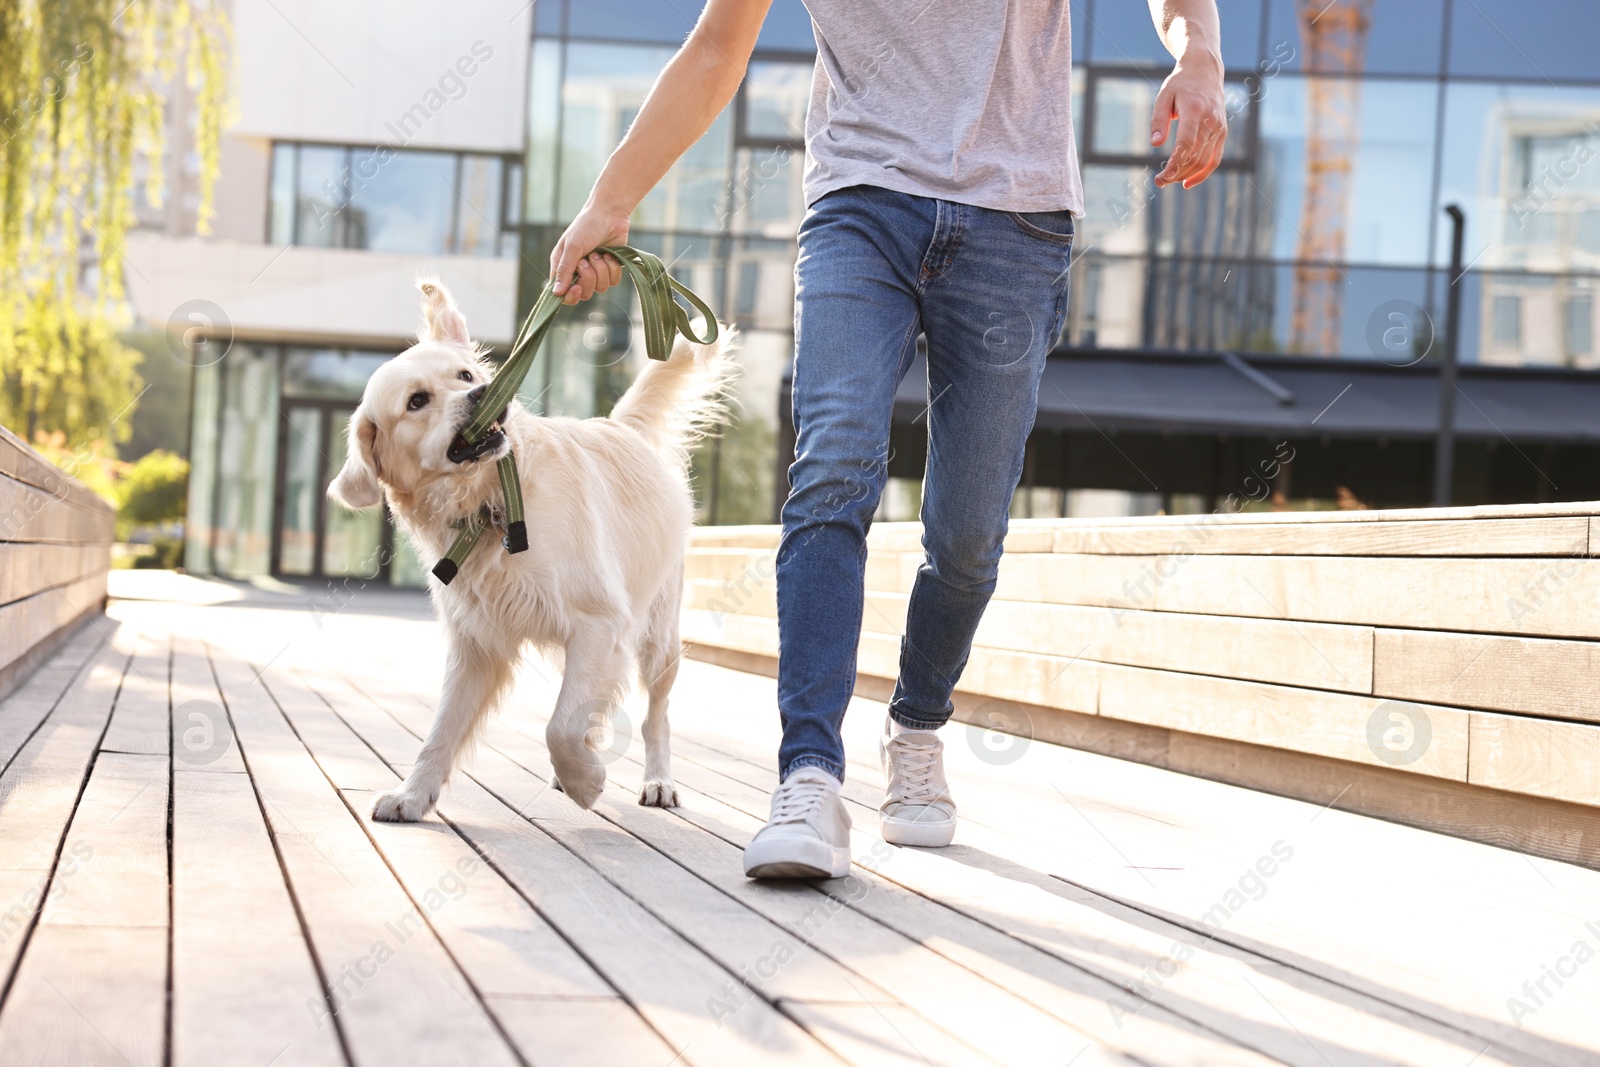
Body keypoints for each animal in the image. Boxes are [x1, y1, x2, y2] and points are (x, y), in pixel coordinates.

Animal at [332, 279, 742, 825]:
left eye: (465, 375)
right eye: (417, 401)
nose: (483, 393)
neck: (491, 503)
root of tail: (622, 426)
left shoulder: (600, 621)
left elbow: (559, 727)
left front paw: (585, 781)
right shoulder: (476, 644)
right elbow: (441, 731)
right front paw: (412, 796)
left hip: (659, 636)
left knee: (655, 715)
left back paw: (657, 781)